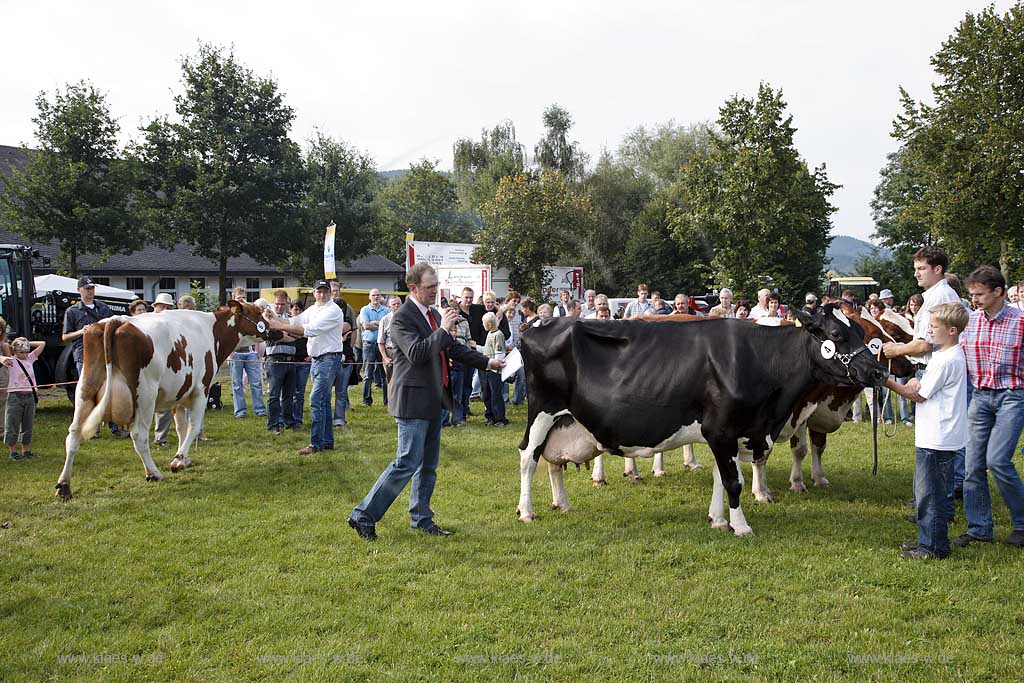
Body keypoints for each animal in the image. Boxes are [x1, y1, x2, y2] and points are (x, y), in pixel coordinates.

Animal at [55, 301, 280, 499]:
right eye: (258, 313)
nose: (277, 331)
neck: (212, 330)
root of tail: (117, 320)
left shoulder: (178, 396)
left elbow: (181, 428)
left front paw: (184, 458)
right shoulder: (201, 390)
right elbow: (193, 427)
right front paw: (178, 460)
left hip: (85, 388)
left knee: (73, 434)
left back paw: (64, 485)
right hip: (145, 394)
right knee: (139, 435)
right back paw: (153, 473)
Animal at [516, 307, 884, 536]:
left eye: (859, 330)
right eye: (837, 333)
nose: (879, 371)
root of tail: (536, 327)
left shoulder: (731, 433)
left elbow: (721, 476)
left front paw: (718, 520)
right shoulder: (721, 429)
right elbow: (733, 480)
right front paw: (741, 526)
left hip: (564, 420)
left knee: (553, 462)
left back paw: (562, 504)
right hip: (542, 411)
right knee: (527, 458)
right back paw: (526, 511)